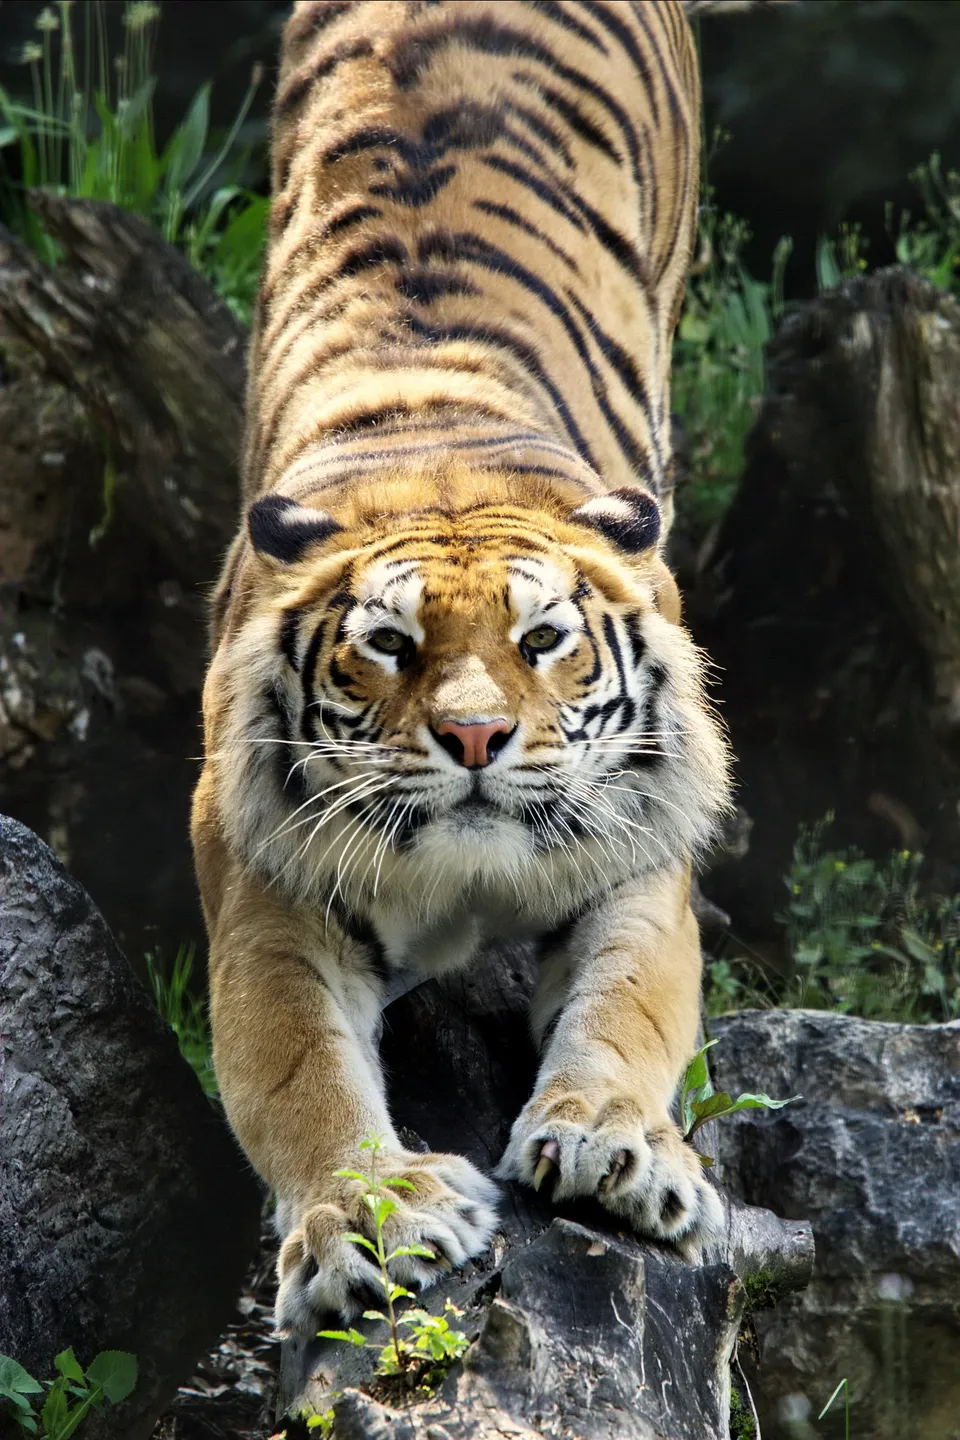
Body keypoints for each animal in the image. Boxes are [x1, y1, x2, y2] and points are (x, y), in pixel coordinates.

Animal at [191, 0, 732, 1336]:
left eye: (542, 640)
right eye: (389, 645)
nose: (478, 739)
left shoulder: (637, 858)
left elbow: (631, 1009)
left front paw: (614, 1147)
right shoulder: (268, 895)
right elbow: (292, 1070)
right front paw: (370, 1218)